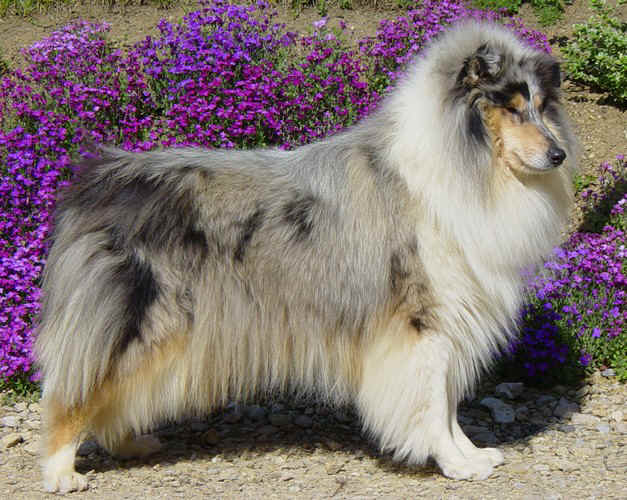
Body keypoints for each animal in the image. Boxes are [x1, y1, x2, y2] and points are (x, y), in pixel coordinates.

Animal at [35, 21, 577, 492]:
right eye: (512, 107)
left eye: (541, 105)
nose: (559, 156)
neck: (463, 163)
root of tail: (97, 178)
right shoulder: (422, 321)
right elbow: (429, 403)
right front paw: (453, 462)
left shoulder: (446, 322)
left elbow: (444, 403)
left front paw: (471, 455)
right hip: (142, 322)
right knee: (72, 393)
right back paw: (62, 474)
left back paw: (132, 444)